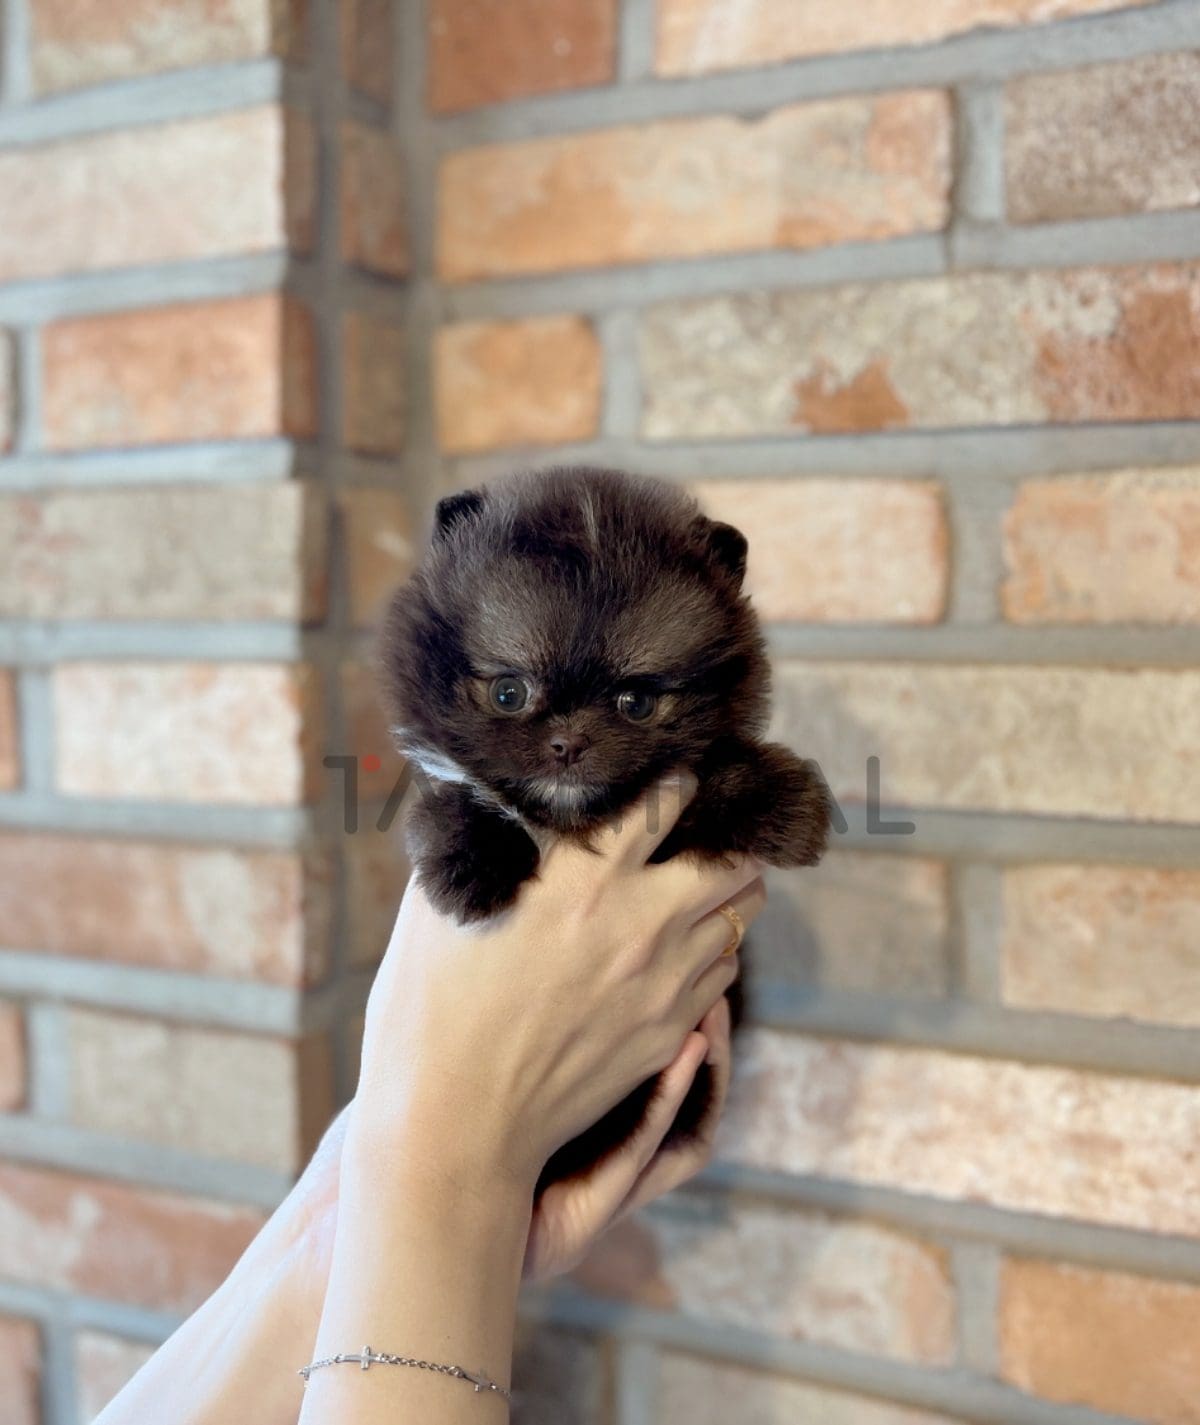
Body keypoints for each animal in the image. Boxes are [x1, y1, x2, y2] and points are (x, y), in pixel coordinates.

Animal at [378, 466, 830, 1197]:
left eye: (636, 701)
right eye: (509, 692)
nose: (569, 744)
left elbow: (714, 773)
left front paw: (788, 802)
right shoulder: (442, 776)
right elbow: (460, 799)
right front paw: (470, 867)